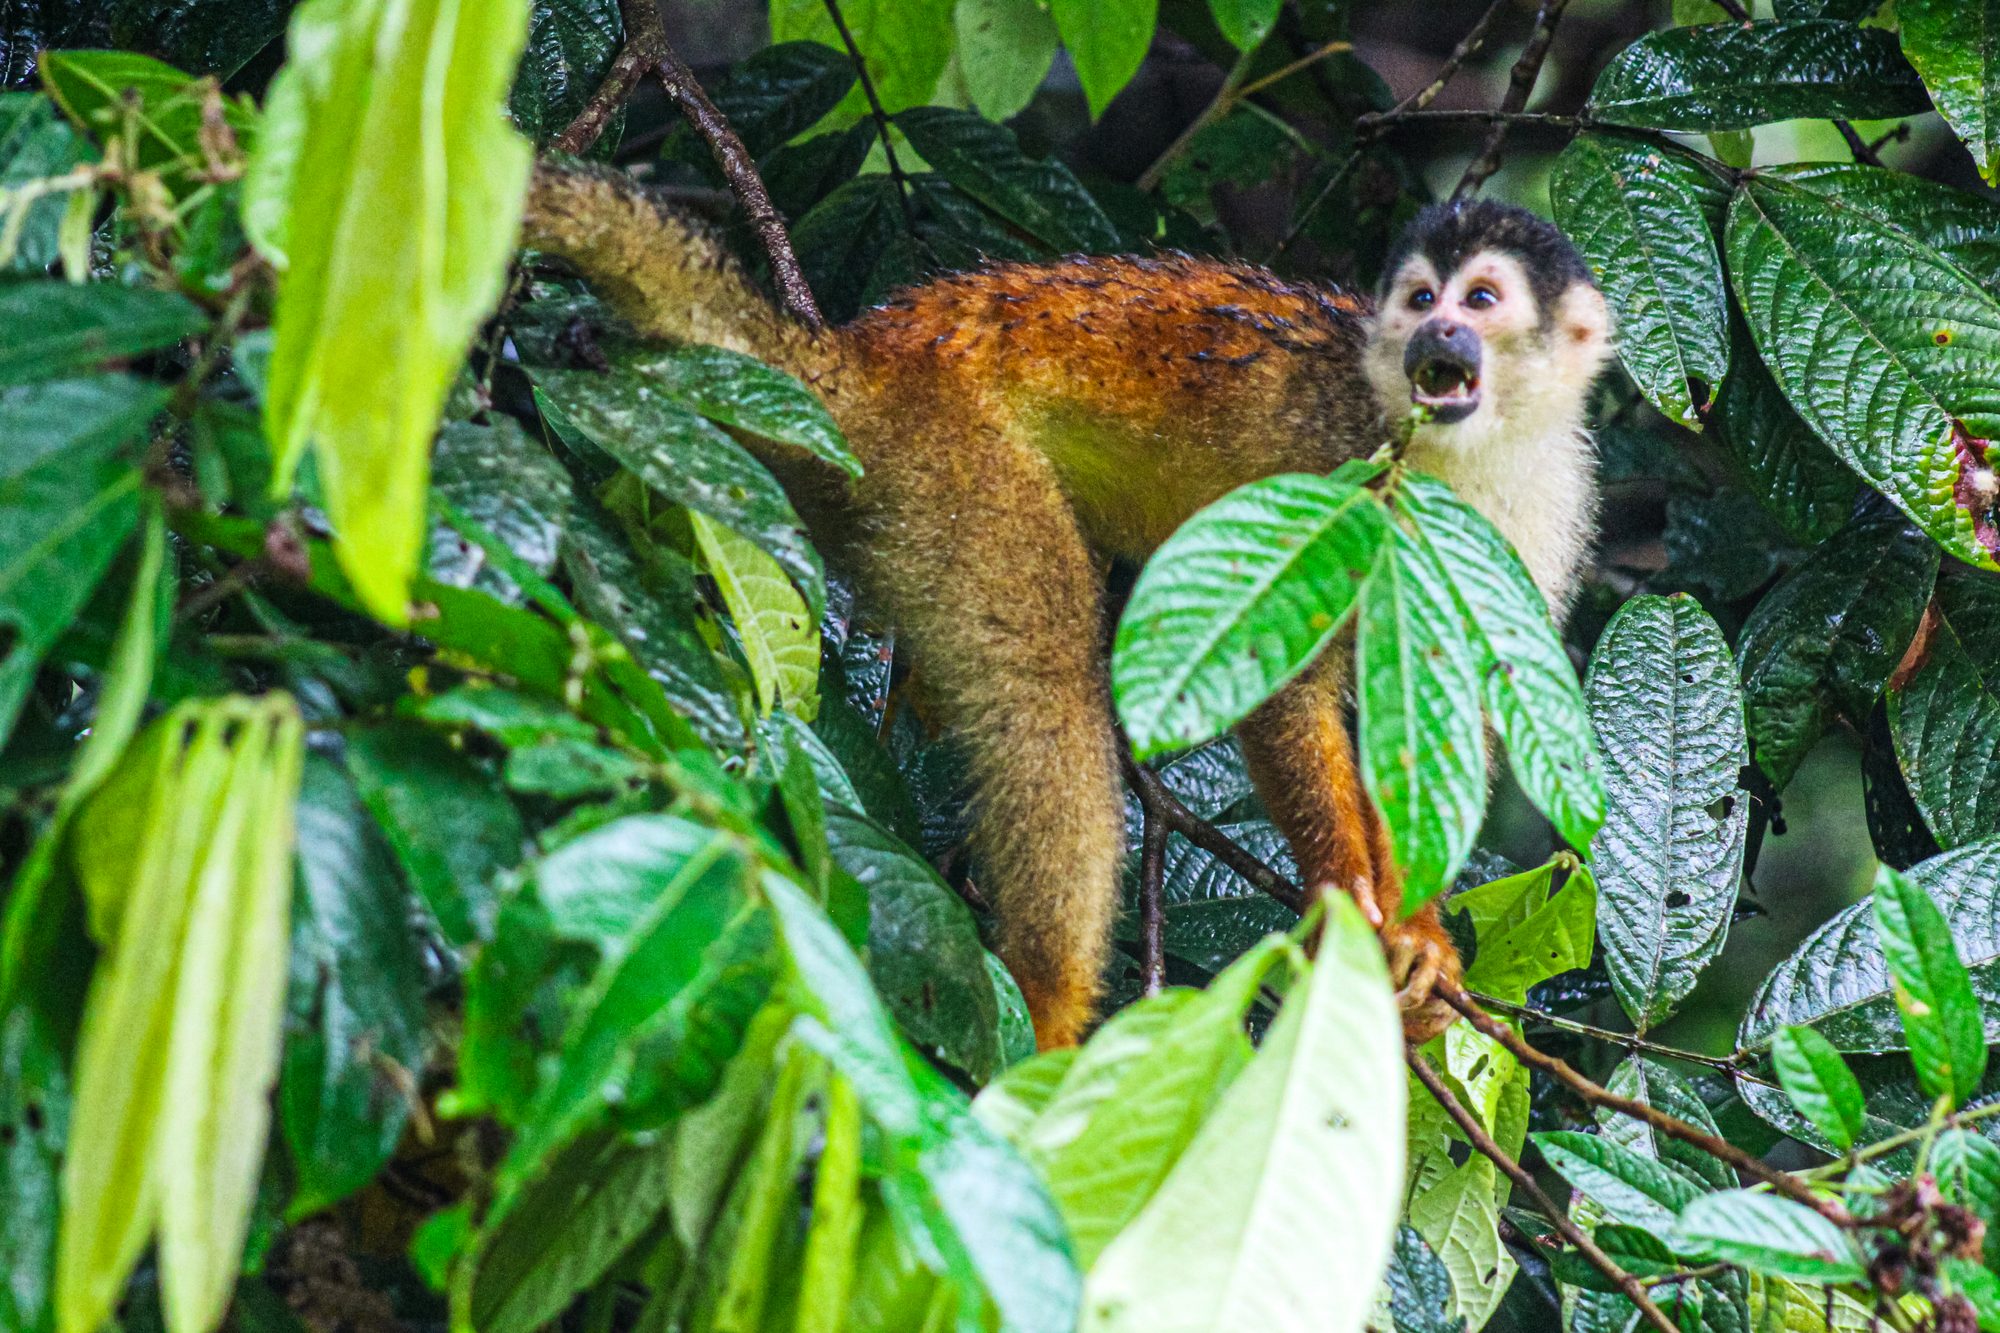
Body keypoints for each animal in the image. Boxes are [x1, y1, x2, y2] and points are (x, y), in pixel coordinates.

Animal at [519, 165, 1613, 1050]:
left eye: (1480, 299)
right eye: (1422, 298)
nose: (1437, 333)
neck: (1462, 462)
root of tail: (860, 355)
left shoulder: (1538, 530)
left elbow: (1440, 717)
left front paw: (1420, 936)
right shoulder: (1332, 474)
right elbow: (1281, 692)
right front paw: (1355, 902)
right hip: (950, 456)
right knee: (1048, 691)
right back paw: (1043, 1015)